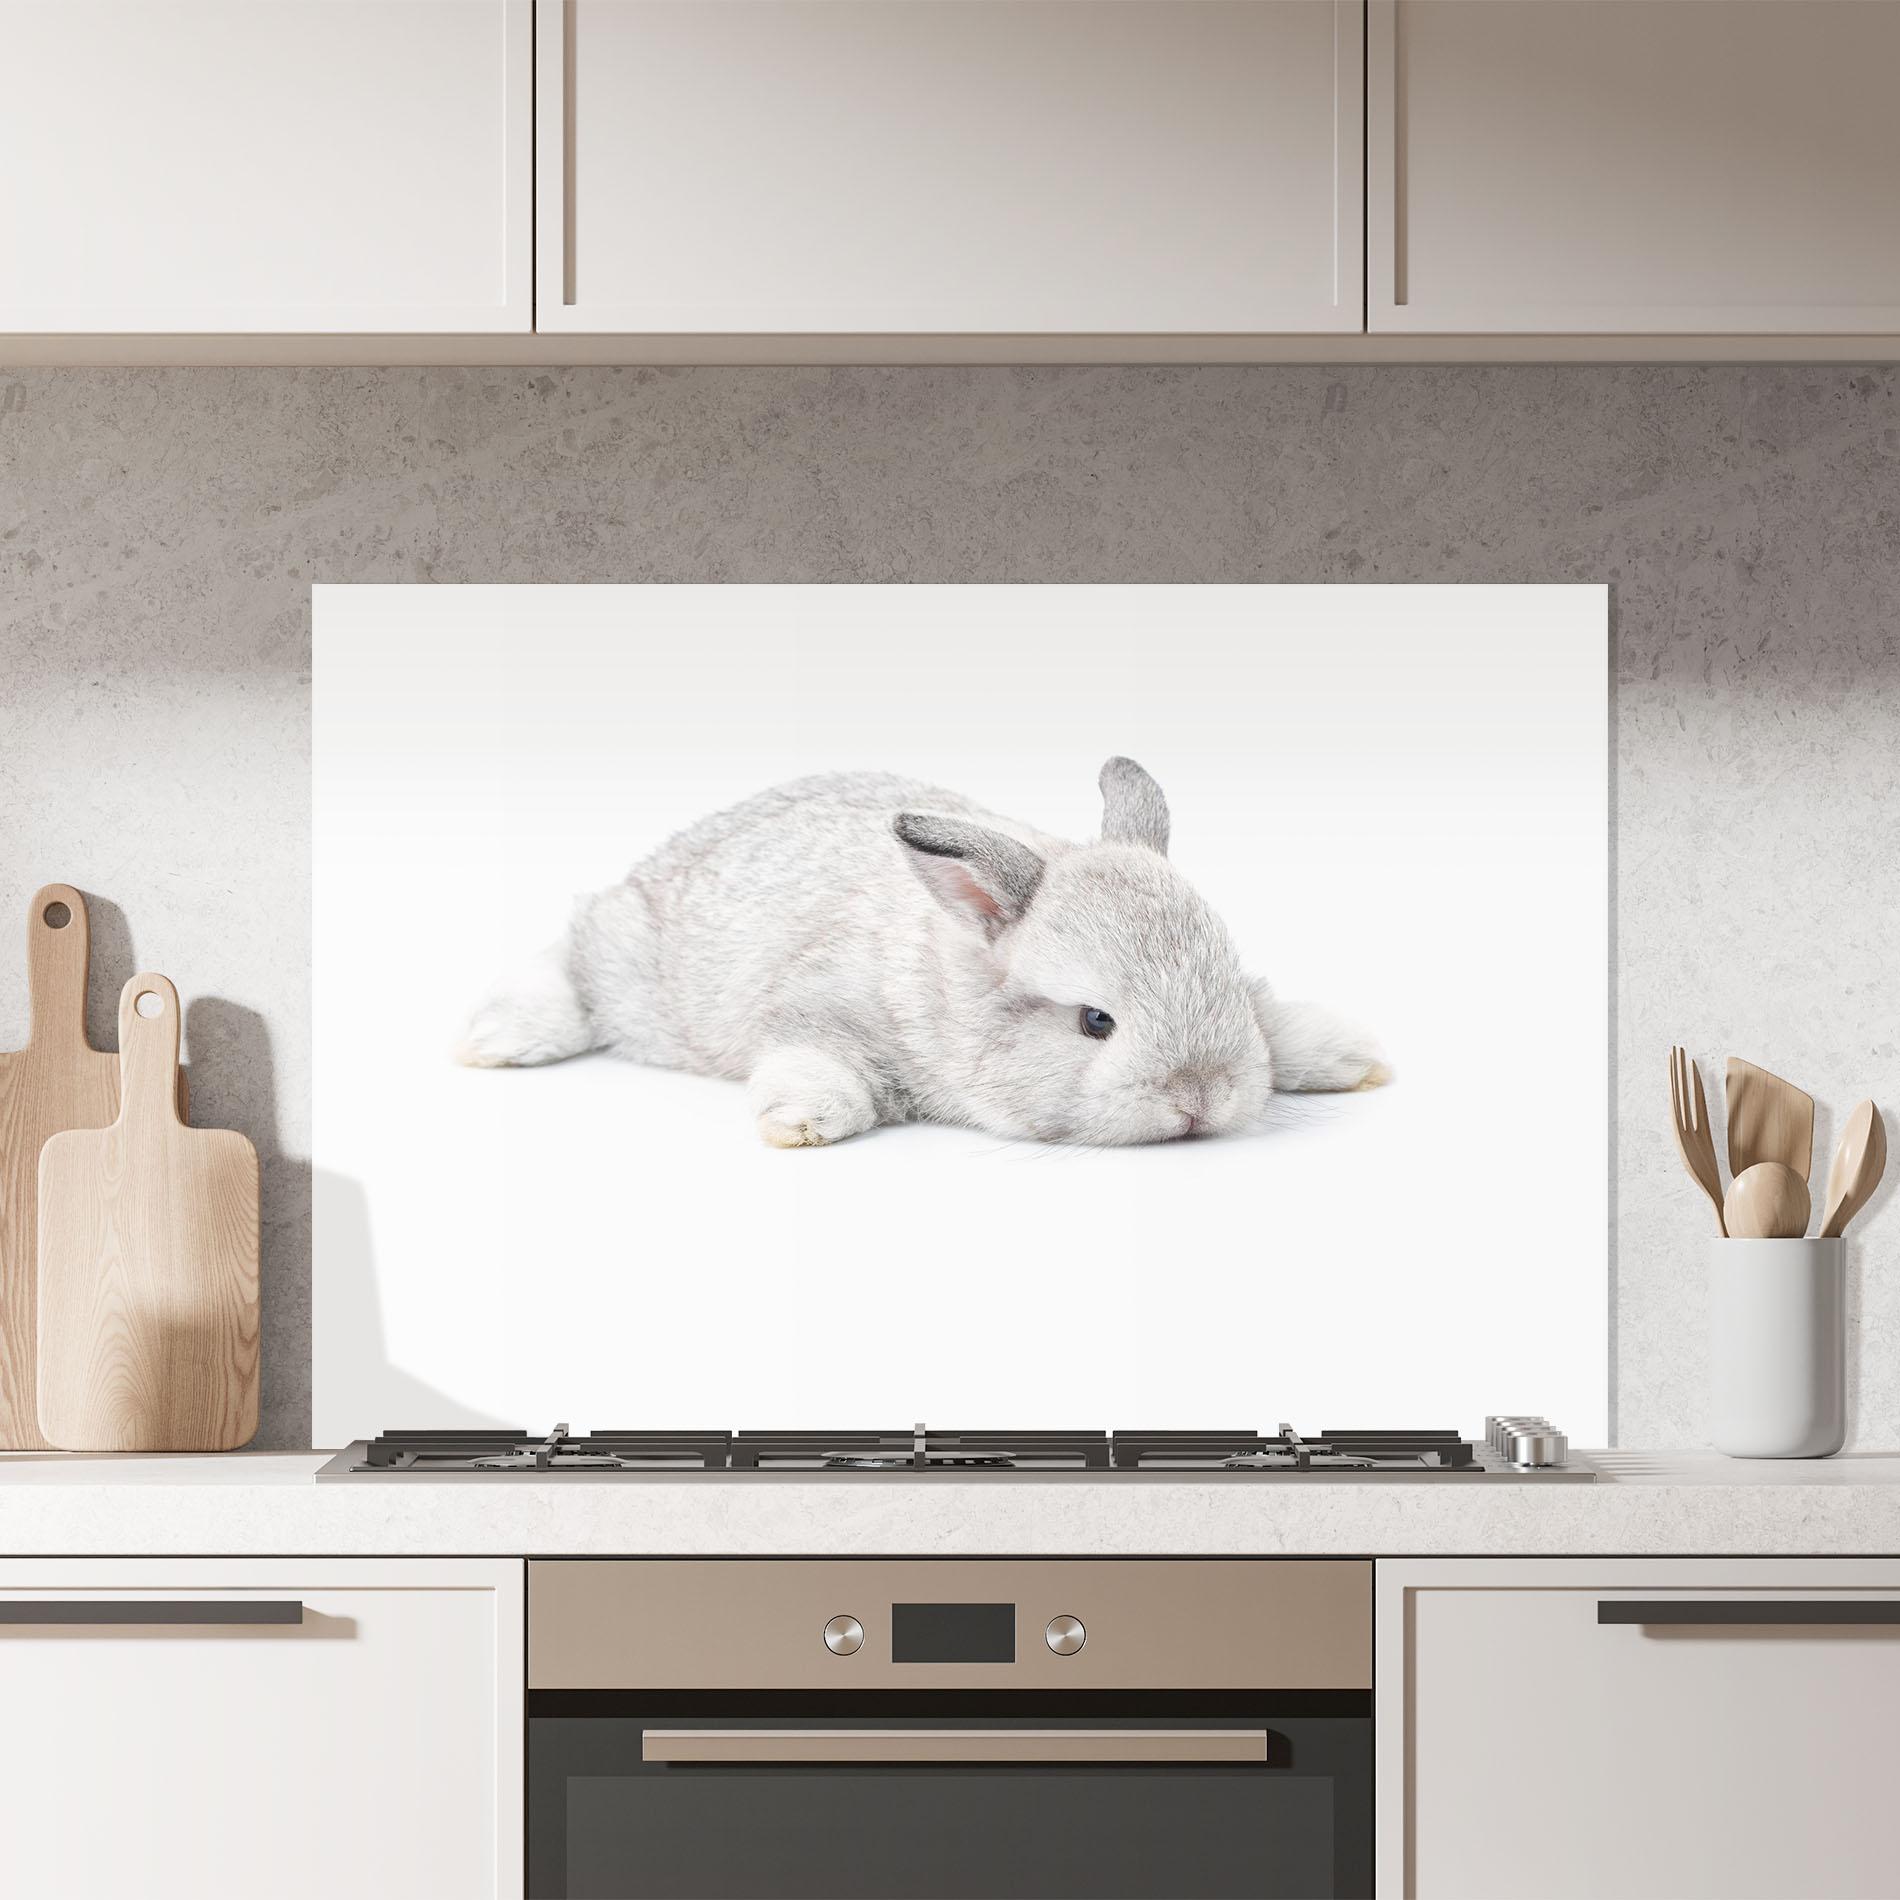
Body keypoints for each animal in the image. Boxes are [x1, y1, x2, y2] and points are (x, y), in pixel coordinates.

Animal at [459, 757, 1389, 1147]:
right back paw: (498, 1038)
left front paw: (1353, 1056)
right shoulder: (817, 1008)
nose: (1199, 1098)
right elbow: (814, 1061)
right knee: (571, 953)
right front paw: (798, 1122)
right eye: (1096, 1021)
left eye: (1227, 984)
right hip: (627, 966)